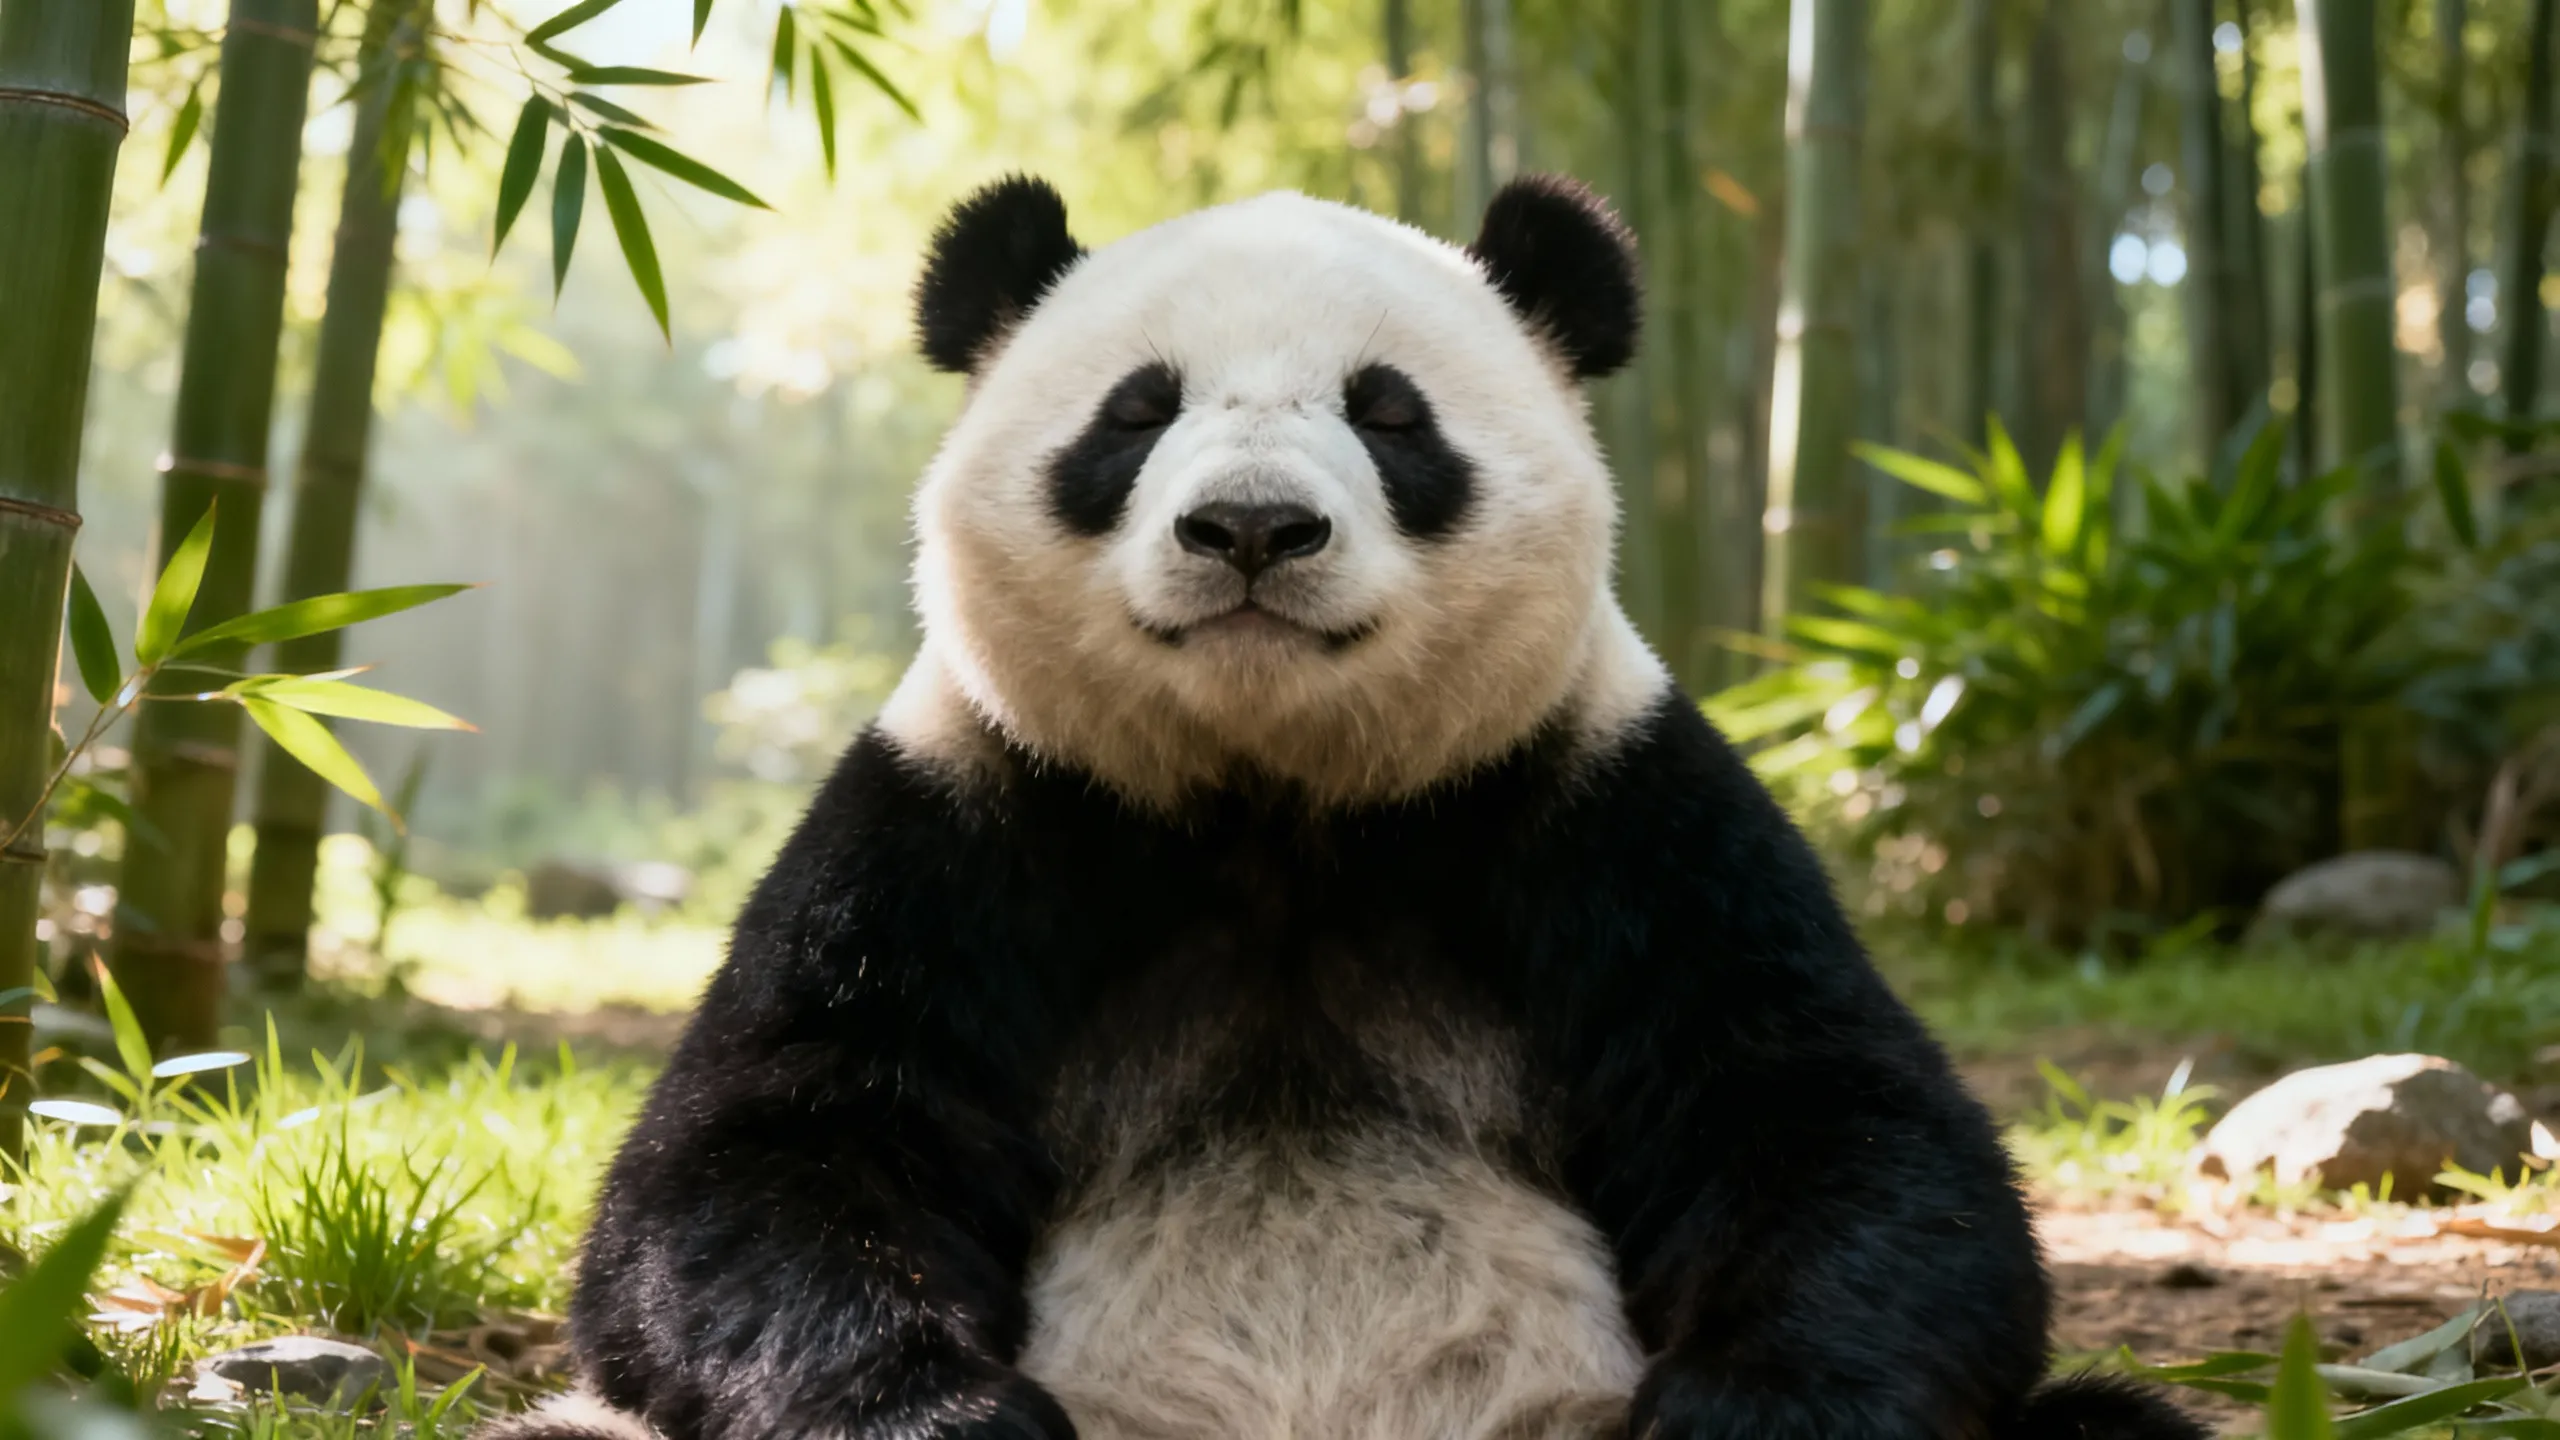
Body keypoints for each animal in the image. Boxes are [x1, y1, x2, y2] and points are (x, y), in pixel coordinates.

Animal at [488, 176, 2206, 1440]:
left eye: (1390, 414)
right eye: (1137, 412)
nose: (1253, 527)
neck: (1279, 799)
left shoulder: (1613, 812)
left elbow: (1829, 1119)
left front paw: (1754, 1414)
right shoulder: (957, 823)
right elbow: (765, 1153)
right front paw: (936, 1417)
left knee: (2108, 1428)